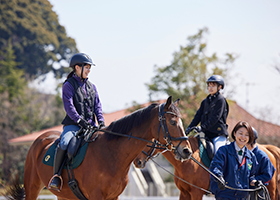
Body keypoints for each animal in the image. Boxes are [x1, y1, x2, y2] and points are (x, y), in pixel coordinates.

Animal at [4, 96, 194, 200]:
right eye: (172, 122)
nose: (187, 151)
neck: (112, 155)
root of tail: (41, 138)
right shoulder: (97, 196)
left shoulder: (114, 196)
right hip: (32, 188)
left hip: (64, 195)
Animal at [133, 138, 280, 199]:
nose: (137, 161)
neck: (187, 161)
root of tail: (267, 148)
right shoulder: (184, 193)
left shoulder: (196, 193)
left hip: (269, 190)